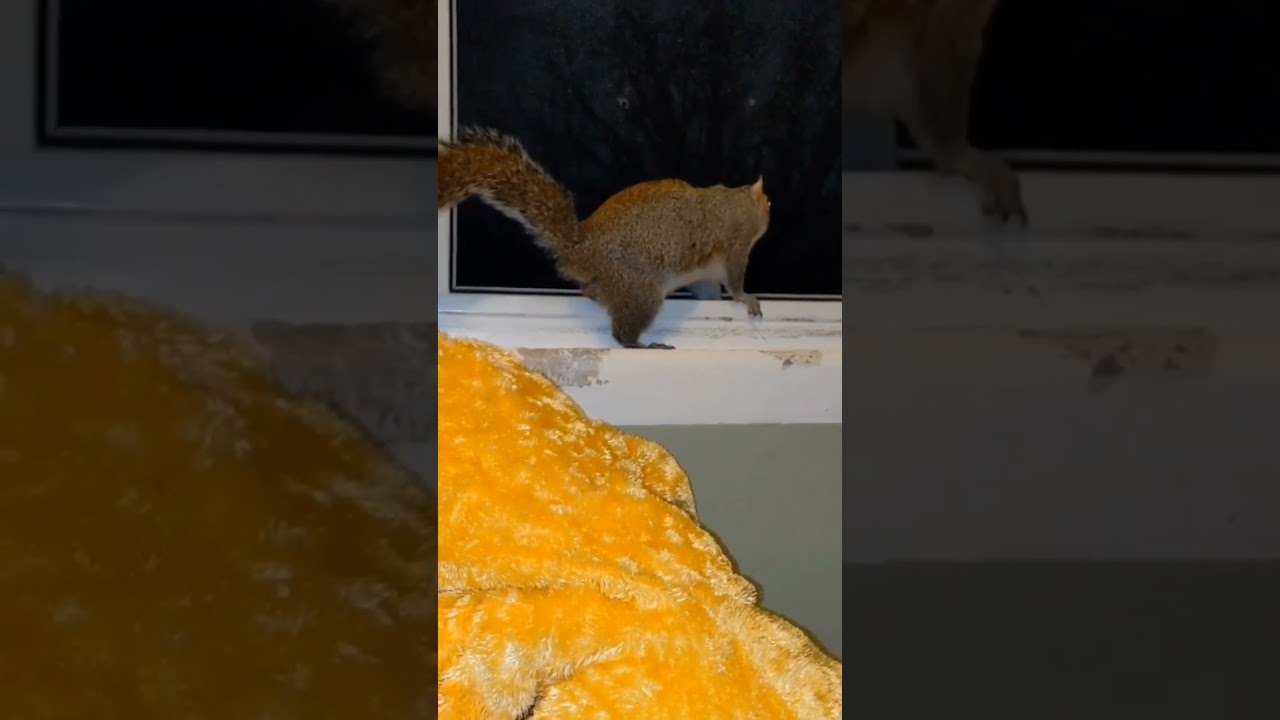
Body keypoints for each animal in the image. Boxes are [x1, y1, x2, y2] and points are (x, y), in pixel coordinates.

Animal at [439, 128, 771, 349]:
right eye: (768, 202)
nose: (771, 209)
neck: (737, 201)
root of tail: (580, 249)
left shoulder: (705, 274)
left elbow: (707, 288)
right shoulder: (735, 243)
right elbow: (735, 279)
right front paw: (746, 298)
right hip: (641, 291)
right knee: (623, 333)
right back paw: (642, 344)